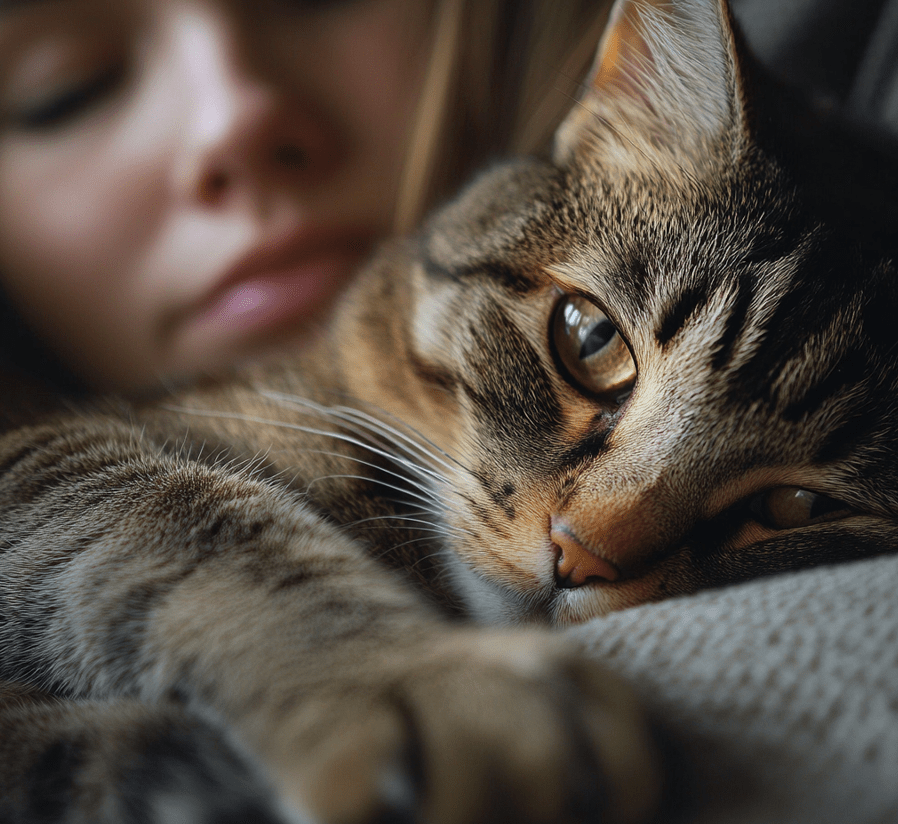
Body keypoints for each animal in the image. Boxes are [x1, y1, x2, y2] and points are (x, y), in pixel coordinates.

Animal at [1, 0, 896, 820]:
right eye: (591, 338)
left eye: (794, 505)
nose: (582, 554)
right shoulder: (48, 450)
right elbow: (204, 533)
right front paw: (425, 683)